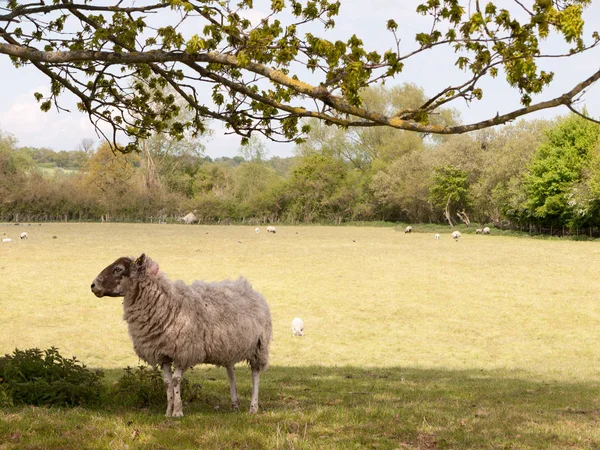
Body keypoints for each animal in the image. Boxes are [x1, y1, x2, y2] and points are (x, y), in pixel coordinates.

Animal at [91, 255, 272, 416]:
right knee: (231, 372)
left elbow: (176, 381)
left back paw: (253, 408)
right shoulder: (162, 353)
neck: (167, 304)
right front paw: (167, 412)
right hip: (229, 346)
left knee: (255, 375)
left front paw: (177, 412)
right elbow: (167, 382)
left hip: (259, 347)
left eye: (118, 269)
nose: (93, 285)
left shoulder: (184, 351)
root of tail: (248, 287)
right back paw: (234, 405)